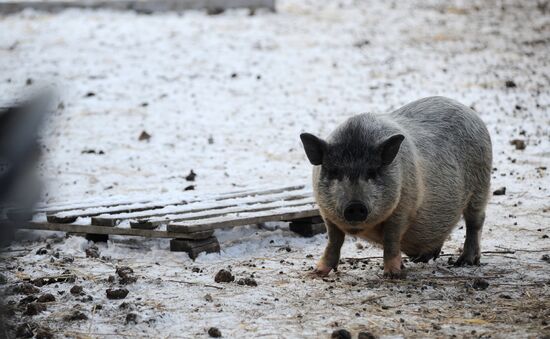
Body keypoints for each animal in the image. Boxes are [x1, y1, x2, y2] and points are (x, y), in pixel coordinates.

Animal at [302, 95, 496, 278]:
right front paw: (316, 273)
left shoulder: (404, 207)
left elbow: (391, 239)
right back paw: (421, 259)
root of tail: (470, 112)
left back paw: (464, 262)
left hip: (480, 184)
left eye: (372, 172)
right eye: (334, 172)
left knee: (475, 221)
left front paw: (393, 275)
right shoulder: (326, 213)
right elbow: (334, 241)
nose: (355, 205)